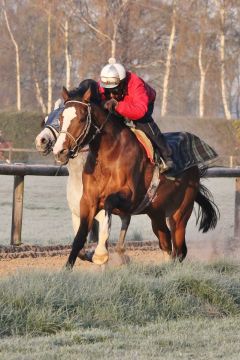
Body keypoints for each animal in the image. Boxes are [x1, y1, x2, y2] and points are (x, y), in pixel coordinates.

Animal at [52, 85, 219, 270]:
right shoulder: (88, 201)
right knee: (166, 242)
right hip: (156, 213)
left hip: (180, 212)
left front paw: (102, 253)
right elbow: (79, 239)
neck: (109, 156)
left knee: (179, 248)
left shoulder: (130, 198)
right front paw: (68, 269)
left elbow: (109, 203)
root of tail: (195, 168)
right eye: (61, 118)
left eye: (81, 119)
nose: (59, 151)